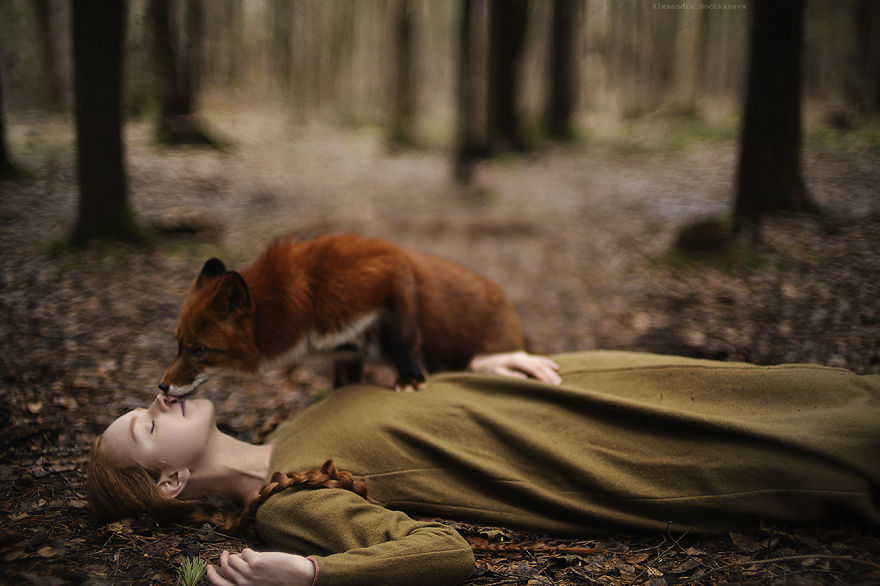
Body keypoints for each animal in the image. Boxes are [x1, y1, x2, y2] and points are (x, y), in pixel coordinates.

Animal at [158, 233, 533, 396]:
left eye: (200, 350)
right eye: (177, 345)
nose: (161, 386)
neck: (307, 300)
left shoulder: (391, 272)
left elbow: (404, 340)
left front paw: (411, 378)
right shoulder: (347, 352)